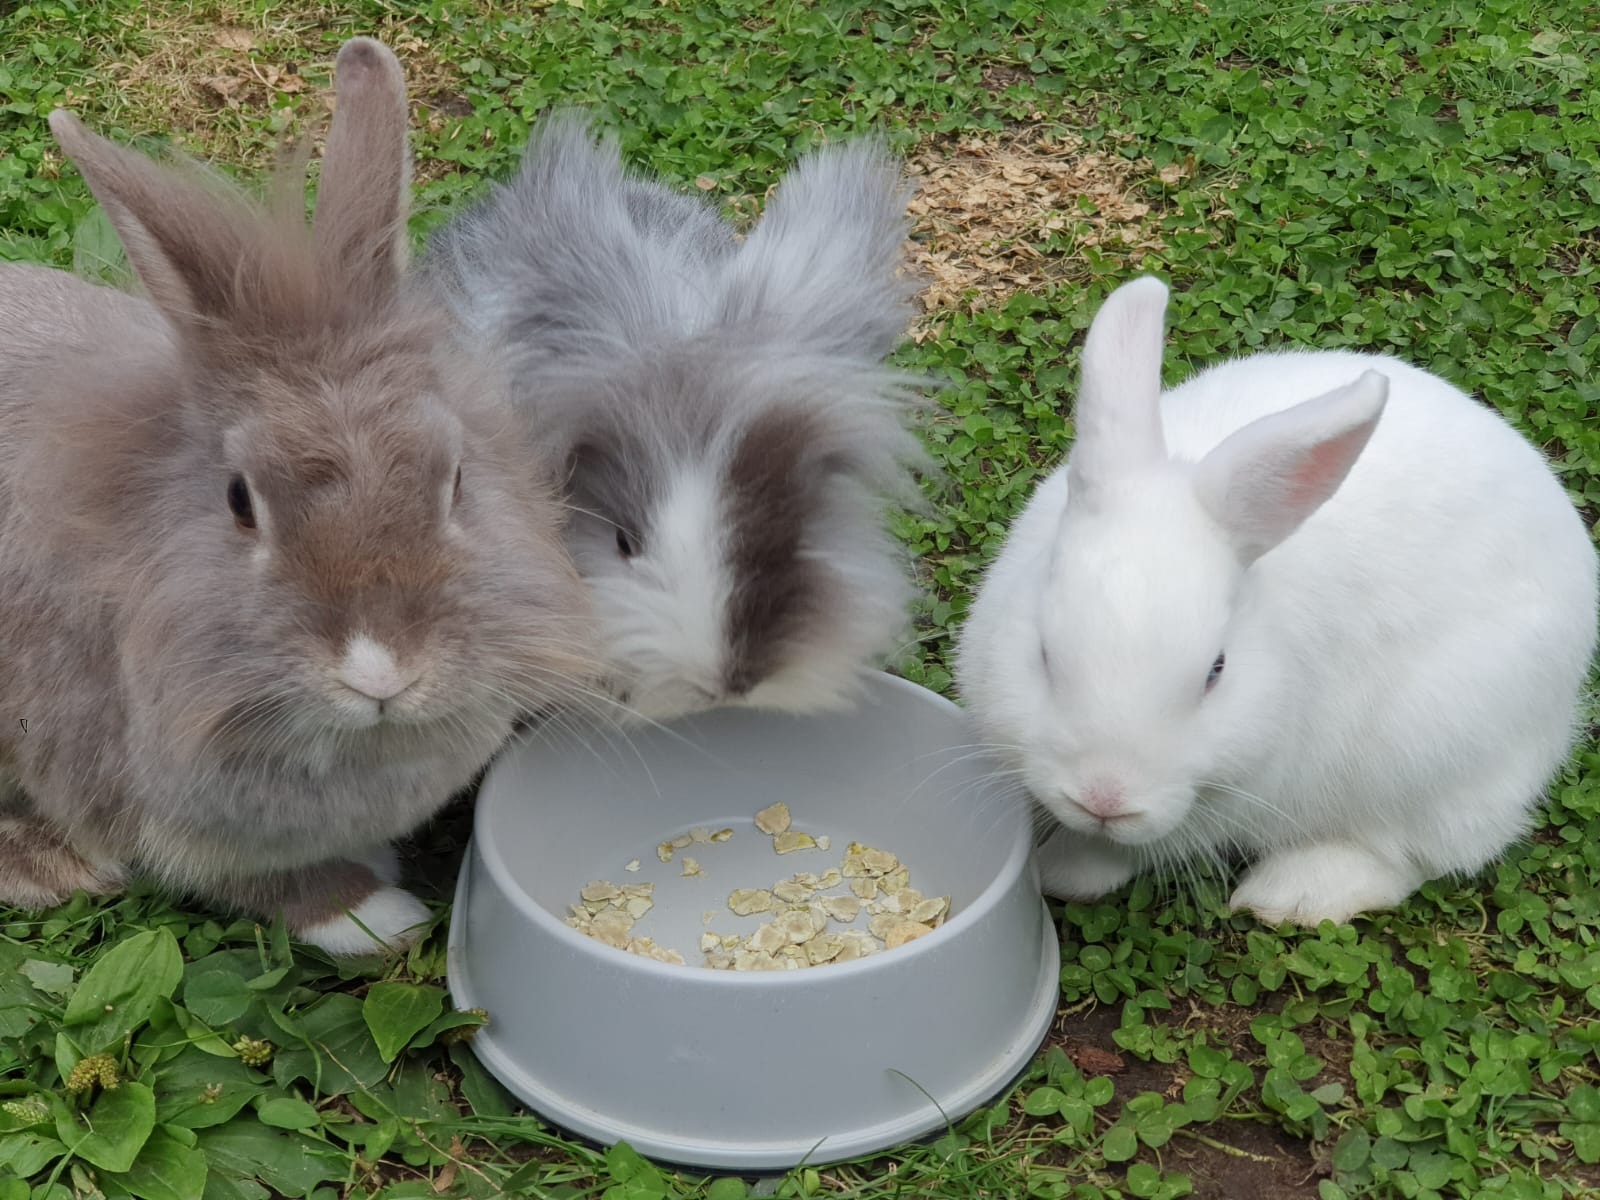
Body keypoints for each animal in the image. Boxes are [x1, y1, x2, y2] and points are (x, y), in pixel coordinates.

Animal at [0, 37, 595, 955]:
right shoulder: (154, 808)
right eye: (240, 500)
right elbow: (257, 882)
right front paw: (373, 917)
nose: (380, 670)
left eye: (456, 476)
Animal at [955, 275, 1599, 927]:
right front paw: (1059, 867)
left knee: (1420, 851)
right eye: (1043, 654)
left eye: (1217, 671)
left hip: (1439, 753)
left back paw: (1291, 896)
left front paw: (1065, 869)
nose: (1105, 796)